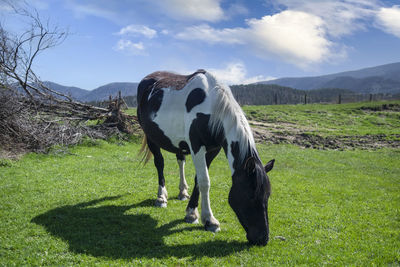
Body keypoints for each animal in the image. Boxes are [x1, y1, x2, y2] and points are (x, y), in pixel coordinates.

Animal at [138, 69, 276, 247]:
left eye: (268, 195)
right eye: (251, 195)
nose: (263, 239)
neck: (212, 106)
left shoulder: (213, 149)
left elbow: (199, 180)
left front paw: (191, 212)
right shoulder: (197, 146)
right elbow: (205, 181)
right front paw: (209, 220)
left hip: (178, 144)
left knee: (180, 160)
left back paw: (183, 191)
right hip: (151, 137)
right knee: (159, 164)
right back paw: (161, 197)